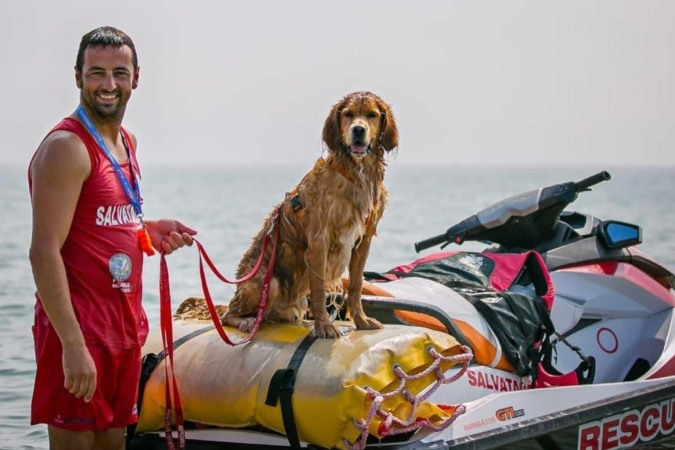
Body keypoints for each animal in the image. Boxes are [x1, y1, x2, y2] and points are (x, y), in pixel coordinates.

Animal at [222, 91, 402, 338]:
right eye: (348, 115)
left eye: (372, 115)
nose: (358, 130)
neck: (356, 174)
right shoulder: (319, 240)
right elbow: (319, 288)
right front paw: (324, 326)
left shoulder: (363, 241)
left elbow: (356, 285)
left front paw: (361, 320)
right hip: (270, 283)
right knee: (228, 314)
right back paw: (246, 321)